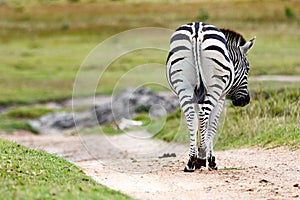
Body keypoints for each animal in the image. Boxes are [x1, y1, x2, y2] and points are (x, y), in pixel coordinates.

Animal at [166, 21, 255, 172]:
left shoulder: (198, 98)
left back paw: (190, 162)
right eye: (248, 68)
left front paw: (197, 157)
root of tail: (196, 30)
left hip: (183, 87)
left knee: (192, 118)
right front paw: (211, 161)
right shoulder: (221, 98)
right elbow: (212, 125)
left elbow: (201, 125)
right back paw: (201, 158)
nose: (245, 100)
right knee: (203, 116)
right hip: (215, 88)